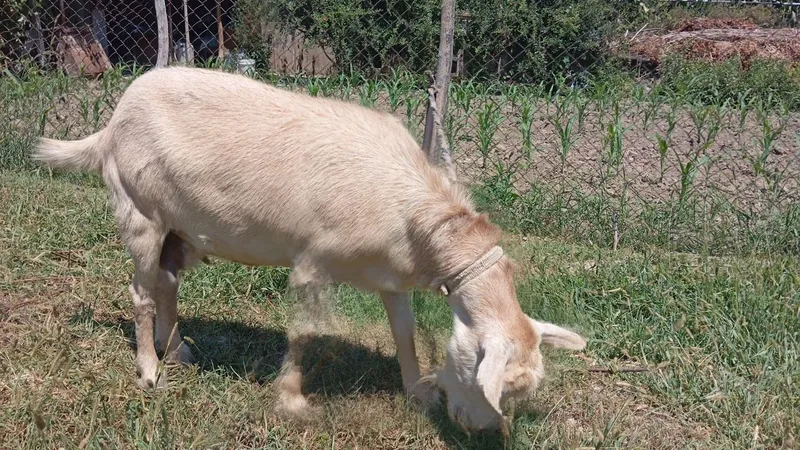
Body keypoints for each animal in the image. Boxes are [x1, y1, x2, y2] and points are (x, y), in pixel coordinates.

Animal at [32, 67, 587, 433]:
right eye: (487, 377)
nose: (482, 430)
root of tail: (112, 120)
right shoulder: (312, 263)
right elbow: (304, 331)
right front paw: (292, 400)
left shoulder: (391, 276)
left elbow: (404, 334)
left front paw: (416, 391)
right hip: (140, 210)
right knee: (141, 292)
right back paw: (150, 370)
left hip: (177, 227)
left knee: (167, 283)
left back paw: (179, 350)